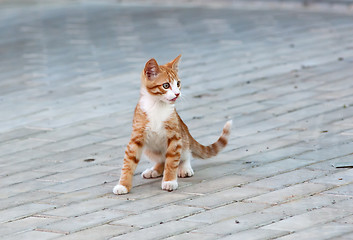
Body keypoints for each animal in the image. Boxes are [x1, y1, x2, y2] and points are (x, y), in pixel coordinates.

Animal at [113, 55, 231, 194]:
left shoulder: (174, 137)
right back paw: (154, 170)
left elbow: (172, 161)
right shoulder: (136, 137)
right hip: (149, 148)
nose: (177, 93)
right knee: (161, 159)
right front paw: (123, 184)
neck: (157, 106)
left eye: (178, 84)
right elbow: (129, 162)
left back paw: (184, 168)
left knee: (184, 154)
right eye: (166, 85)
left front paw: (169, 181)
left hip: (183, 137)